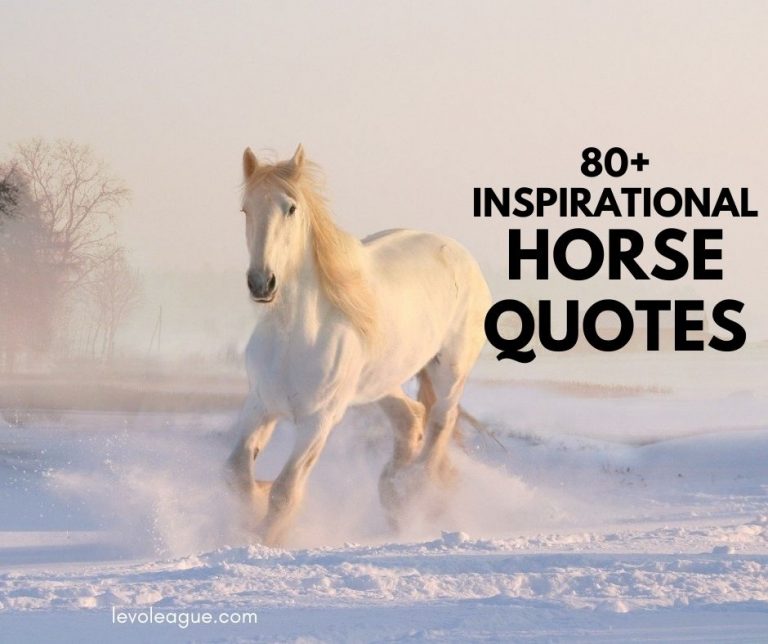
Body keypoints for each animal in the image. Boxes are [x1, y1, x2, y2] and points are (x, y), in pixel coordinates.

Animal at [226, 144, 491, 545]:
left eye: (291, 208)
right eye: (246, 209)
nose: (261, 283)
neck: (294, 336)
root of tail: (460, 254)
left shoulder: (319, 420)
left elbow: (285, 491)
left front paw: (266, 538)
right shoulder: (260, 405)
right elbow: (238, 474)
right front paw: (254, 506)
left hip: (450, 370)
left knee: (440, 423)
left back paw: (412, 491)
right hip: (379, 383)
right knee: (411, 418)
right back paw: (394, 494)